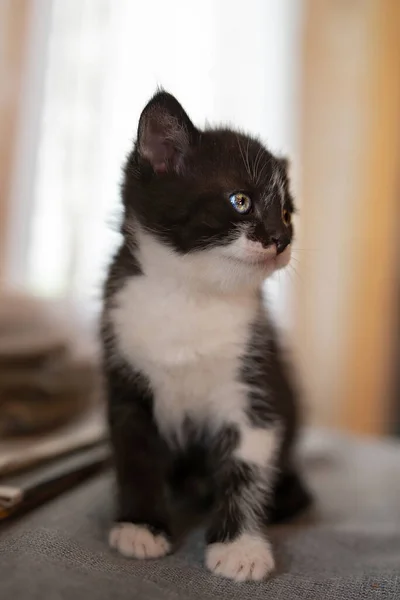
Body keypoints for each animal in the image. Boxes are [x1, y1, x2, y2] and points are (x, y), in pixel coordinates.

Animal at [102, 90, 310, 580]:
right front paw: (141, 526)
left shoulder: (255, 380)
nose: (280, 238)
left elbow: (247, 464)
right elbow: (135, 454)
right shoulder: (125, 376)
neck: (191, 297)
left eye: (287, 213)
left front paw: (239, 547)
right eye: (240, 200)